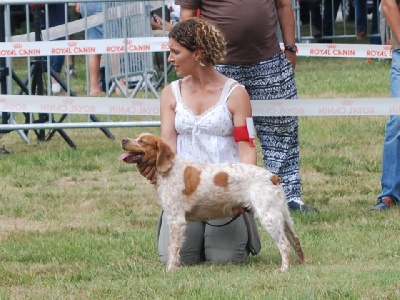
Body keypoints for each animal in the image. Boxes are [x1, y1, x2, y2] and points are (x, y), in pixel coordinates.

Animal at [118, 132, 304, 270]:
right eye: (135, 137)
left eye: (142, 141)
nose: (123, 140)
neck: (169, 170)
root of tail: (273, 176)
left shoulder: (176, 220)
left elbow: (173, 248)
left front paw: (171, 269)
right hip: (283, 216)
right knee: (295, 239)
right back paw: (301, 263)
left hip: (269, 217)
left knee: (284, 245)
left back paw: (283, 269)